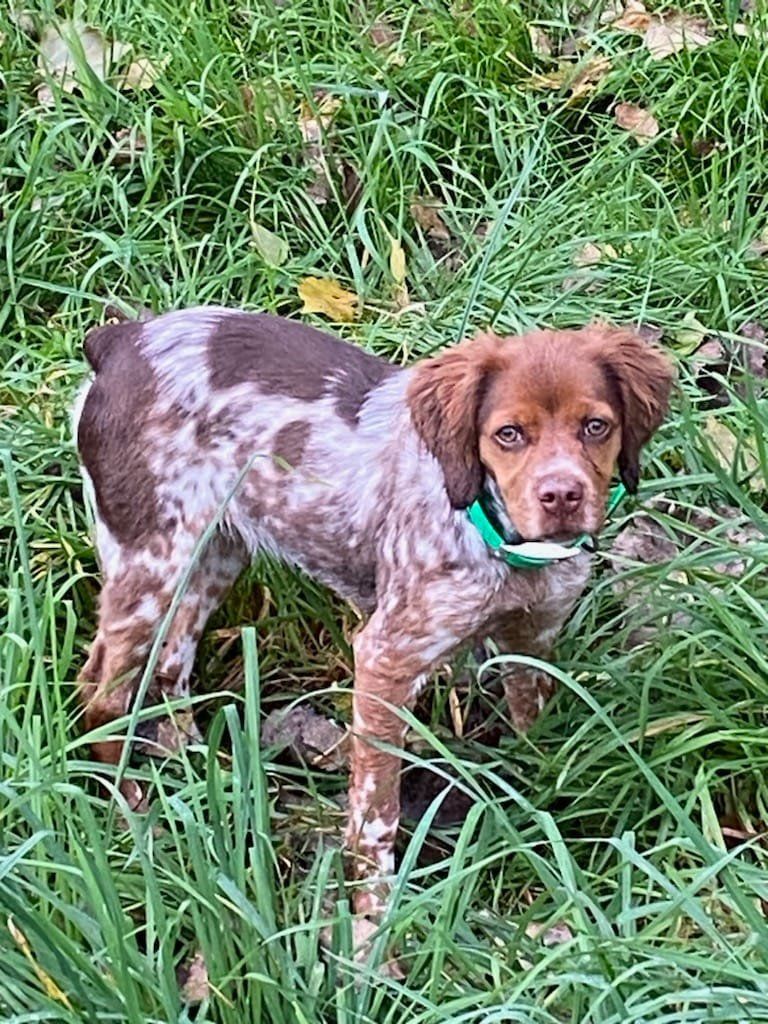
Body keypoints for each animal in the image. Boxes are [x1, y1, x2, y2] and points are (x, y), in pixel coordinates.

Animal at [72, 311, 671, 942]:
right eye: (509, 434)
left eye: (596, 426)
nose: (562, 496)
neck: (499, 543)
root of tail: (119, 341)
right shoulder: (387, 659)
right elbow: (375, 812)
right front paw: (373, 921)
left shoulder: (532, 641)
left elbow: (535, 731)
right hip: (152, 560)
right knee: (103, 692)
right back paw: (134, 812)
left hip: (214, 555)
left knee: (171, 667)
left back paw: (201, 777)